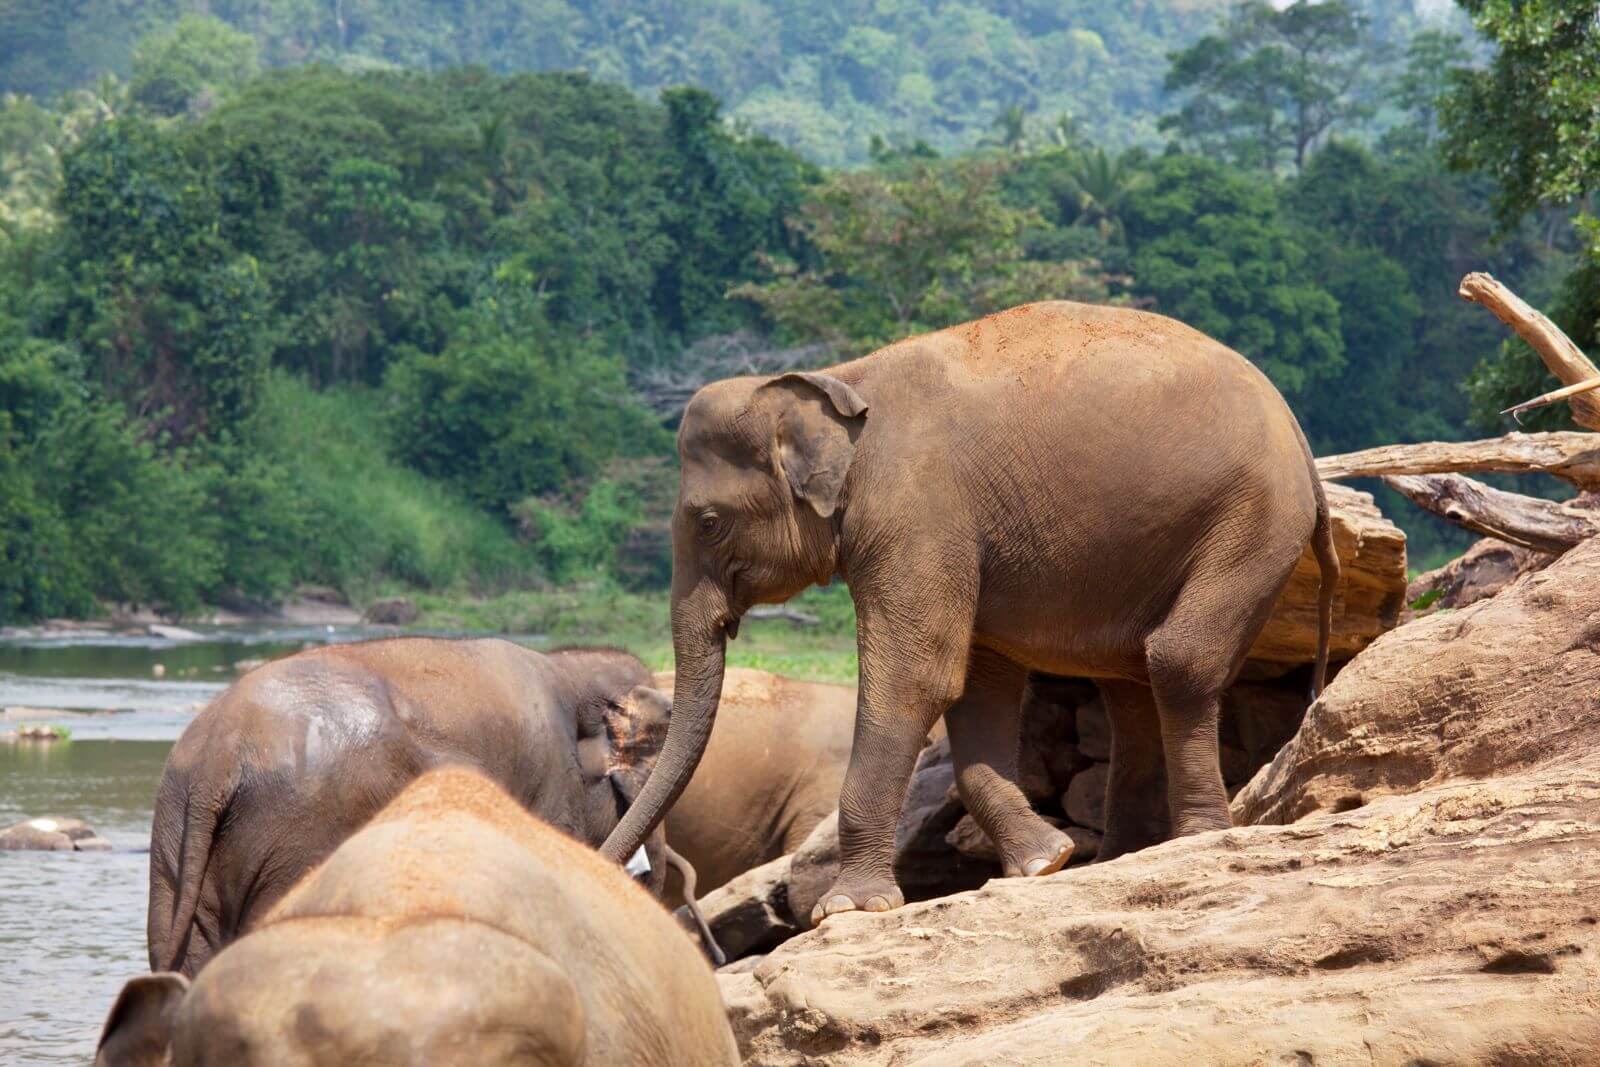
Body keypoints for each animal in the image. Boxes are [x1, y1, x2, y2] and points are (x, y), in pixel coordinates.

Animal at [145, 633, 681, 979]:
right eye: (662, 730)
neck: (566, 668)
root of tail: (220, 757)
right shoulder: (550, 785)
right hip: (299, 831)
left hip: (177, 836)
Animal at [601, 295, 1337, 921]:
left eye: (708, 523)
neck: (838, 381)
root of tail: (1299, 434)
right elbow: (976, 685)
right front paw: (1045, 862)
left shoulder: (917, 512)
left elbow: (917, 677)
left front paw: (846, 908)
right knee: (1130, 683)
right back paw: (1121, 855)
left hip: (1252, 518)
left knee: (1177, 658)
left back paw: (1196, 837)